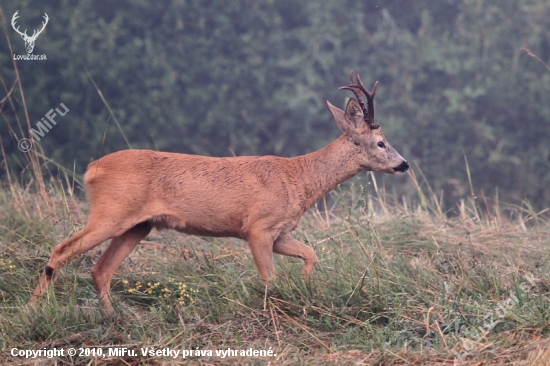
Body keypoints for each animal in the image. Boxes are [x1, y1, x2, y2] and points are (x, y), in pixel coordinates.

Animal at [30, 72, 410, 314]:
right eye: (381, 142)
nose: (404, 164)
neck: (300, 180)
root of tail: (92, 169)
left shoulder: (279, 232)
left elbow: (311, 253)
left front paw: (305, 286)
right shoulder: (257, 227)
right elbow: (269, 278)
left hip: (138, 225)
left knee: (101, 270)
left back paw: (113, 317)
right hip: (112, 211)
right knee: (62, 250)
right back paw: (35, 307)